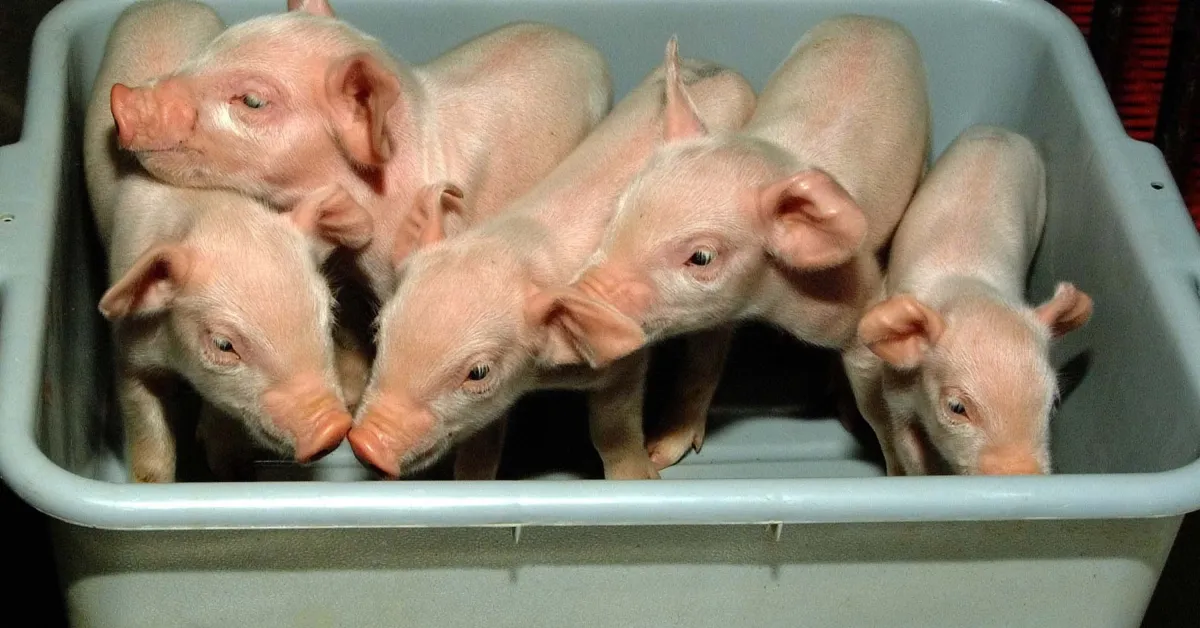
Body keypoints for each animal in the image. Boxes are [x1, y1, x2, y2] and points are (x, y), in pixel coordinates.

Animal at [84, 0, 370, 482]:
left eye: (327, 313)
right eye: (223, 344)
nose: (332, 429)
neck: (216, 215)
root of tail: (158, 4)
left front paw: (227, 466)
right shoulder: (127, 350)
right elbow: (146, 435)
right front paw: (153, 484)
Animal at [347, 42, 757, 480]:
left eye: (478, 372)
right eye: (379, 331)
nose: (365, 444)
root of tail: (726, 70)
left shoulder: (625, 365)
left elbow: (611, 428)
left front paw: (642, 477)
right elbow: (482, 440)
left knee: (709, 355)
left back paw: (665, 449)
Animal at [530, 16, 931, 467]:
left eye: (702, 257)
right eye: (622, 205)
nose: (579, 297)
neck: (767, 303)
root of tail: (876, 20)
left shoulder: (856, 302)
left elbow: (876, 404)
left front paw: (897, 467)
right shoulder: (714, 312)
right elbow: (701, 365)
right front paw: (661, 452)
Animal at [846, 125, 1093, 476]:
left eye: (1054, 401)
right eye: (957, 407)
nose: (1020, 473)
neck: (968, 288)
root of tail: (999, 131)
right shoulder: (896, 392)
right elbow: (911, 452)